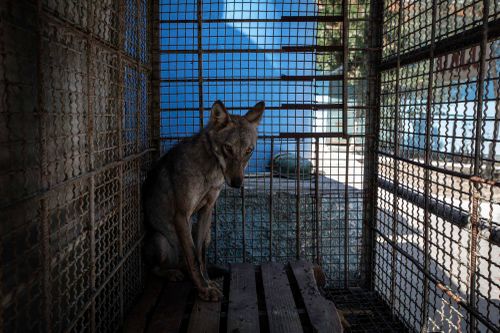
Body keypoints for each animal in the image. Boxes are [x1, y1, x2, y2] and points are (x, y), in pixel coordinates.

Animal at [142, 99, 264, 300]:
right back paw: (172, 273)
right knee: (155, 268)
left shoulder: (206, 211)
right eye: (228, 148)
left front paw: (207, 282)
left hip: (201, 235)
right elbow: (192, 256)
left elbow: (201, 256)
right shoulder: (182, 215)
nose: (237, 183)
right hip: (161, 240)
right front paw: (204, 289)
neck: (211, 172)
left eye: (249, 150)